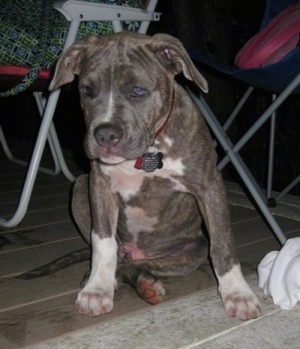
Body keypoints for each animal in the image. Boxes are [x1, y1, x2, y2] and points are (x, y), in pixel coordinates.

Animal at [49, 31, 260, 320]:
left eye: (138, 91)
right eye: (87, 91)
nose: (104, 135)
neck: (147, 151)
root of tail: (137, 254)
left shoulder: (209, 185)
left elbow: (222, 242)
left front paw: (237, 293)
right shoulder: (99, 185)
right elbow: (103, 243)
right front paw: (97, 289)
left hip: (189, 253)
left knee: (137, 266)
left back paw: (147, 284)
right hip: (81, 186)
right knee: (118, 259)